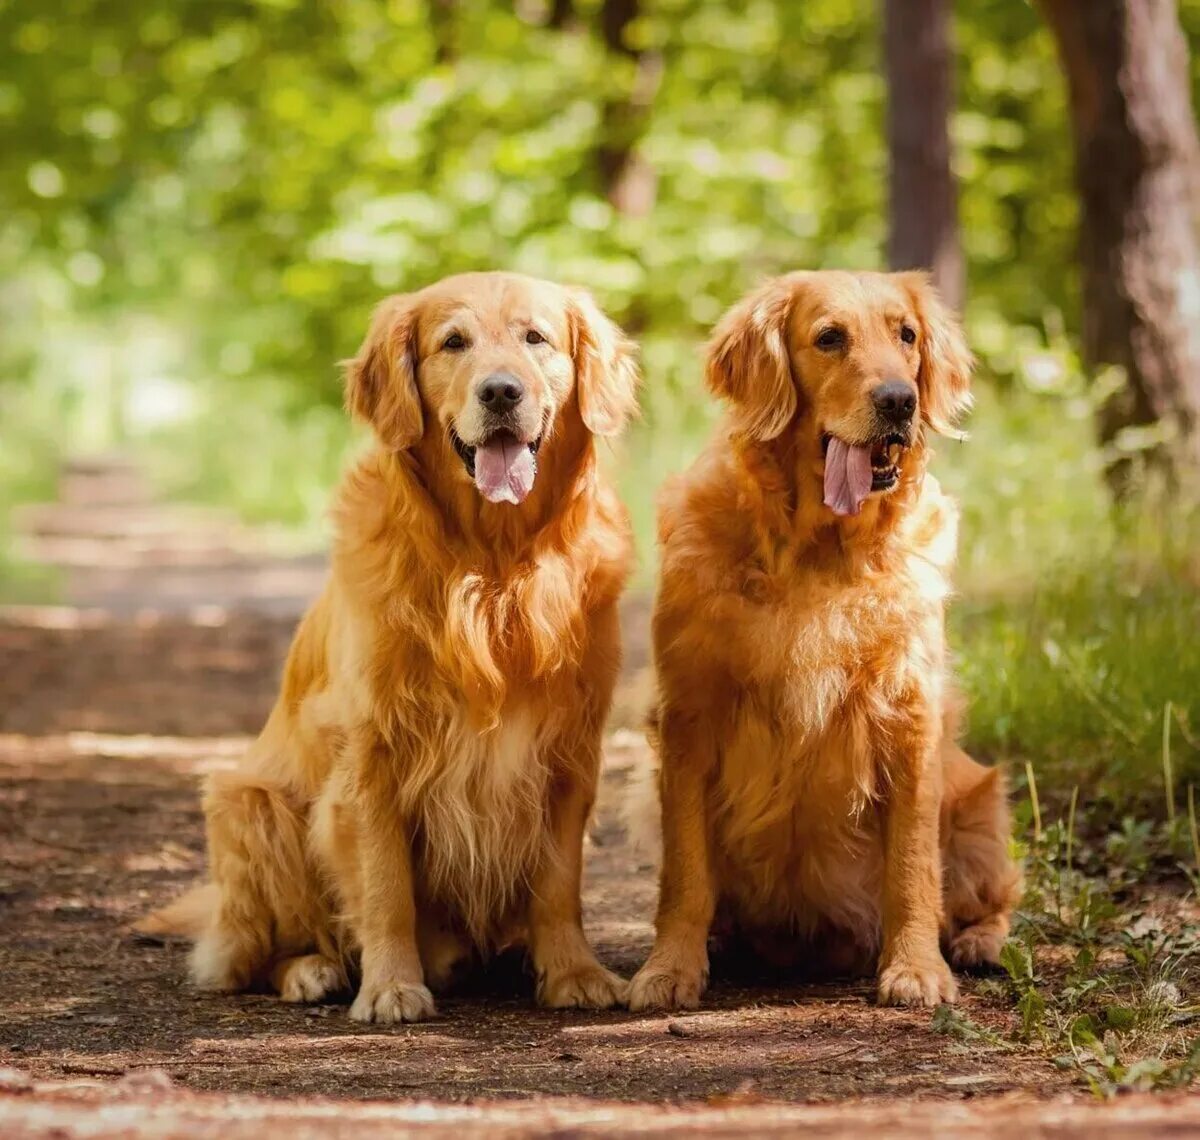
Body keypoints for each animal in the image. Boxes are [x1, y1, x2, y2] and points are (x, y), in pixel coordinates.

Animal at [137, 270, 643, 1027]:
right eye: (453, 343)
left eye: (536, 338)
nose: (501, 393)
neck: (493, 565)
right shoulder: (371, 753)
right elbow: (384, 887)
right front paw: (391, 987)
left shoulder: (569, 750)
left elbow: (559, 882)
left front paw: (574, 973)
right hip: (248, 803)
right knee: (256, 953)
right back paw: (312, 970)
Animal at [633, 272, 1017, 1012]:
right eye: (829, 338)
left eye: (907, 335)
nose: (900, 400)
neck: (818, 550)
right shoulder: (688, 715)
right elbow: (684, 870)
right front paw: (669, 968)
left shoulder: (909, 716)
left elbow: (912, 867)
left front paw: (916, 969)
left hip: (980, 809)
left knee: (994, 900)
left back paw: (977, 944)